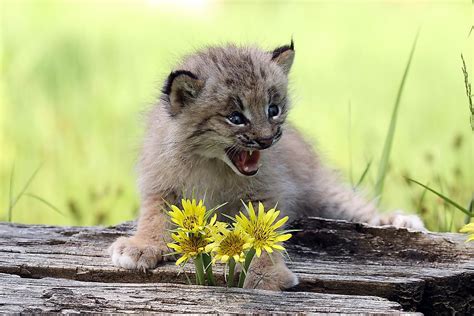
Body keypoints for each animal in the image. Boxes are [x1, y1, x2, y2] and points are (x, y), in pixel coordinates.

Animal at [109, 42, 424, 292]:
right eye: (236, 118)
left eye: (274, 109)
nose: (267, 139)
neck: (212, 164)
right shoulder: (161, 184)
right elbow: (155, 216)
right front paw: (140, 246)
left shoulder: (265, 193)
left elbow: (262, 234)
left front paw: (265, 277)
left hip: (322, 192)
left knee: (355, 206)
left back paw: (401, 221)